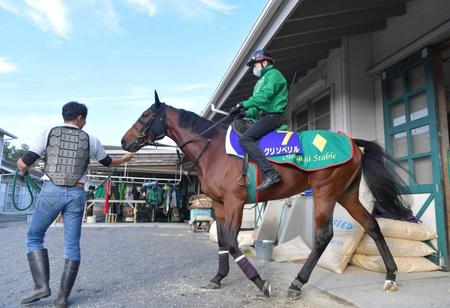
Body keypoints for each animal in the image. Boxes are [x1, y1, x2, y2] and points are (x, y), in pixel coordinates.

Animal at [119, 91, 412, 298]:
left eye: (145, 114)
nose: (123, 141)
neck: (212, 148)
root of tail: (350, 141)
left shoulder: (235, 202)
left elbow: (232, 242)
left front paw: (260, 283)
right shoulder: (220, 205)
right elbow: (222, 242)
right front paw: (218, 277)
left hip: (325, 194)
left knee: (323, 236)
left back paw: (297, 283)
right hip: (346, 195)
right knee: (372, 226)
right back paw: (390, 275)